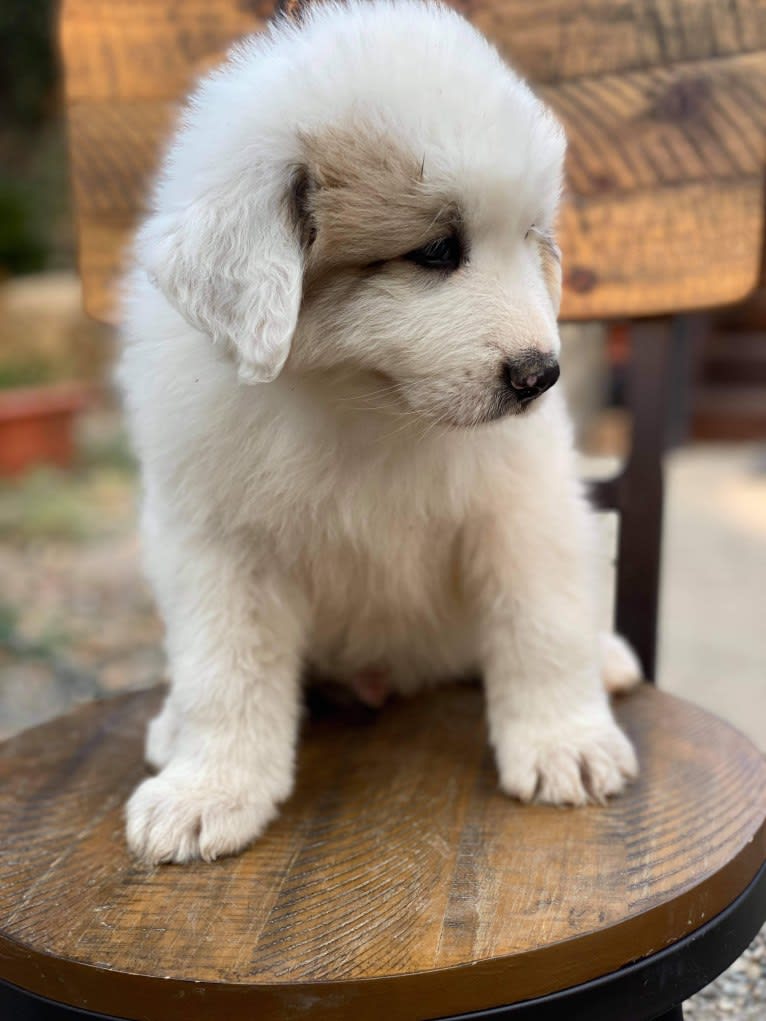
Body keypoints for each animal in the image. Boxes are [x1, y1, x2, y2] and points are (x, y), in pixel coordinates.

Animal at [116, 0, 637, 865]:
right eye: (435, 251)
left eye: (531, 238)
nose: (540, 375)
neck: (366, 404)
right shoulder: (216, 540)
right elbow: (225, 669)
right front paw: (208, 790)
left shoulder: (523, 507)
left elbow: (542, 624)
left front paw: (567, 744)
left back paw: (612, 660)